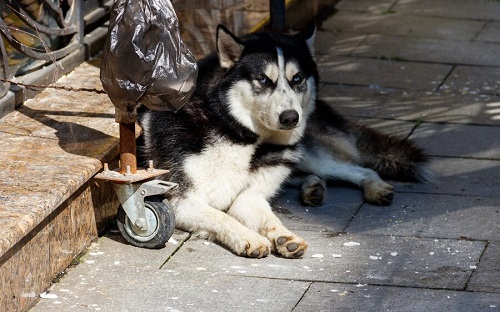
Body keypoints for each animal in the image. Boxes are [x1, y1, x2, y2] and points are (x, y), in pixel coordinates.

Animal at [139, 24, 432, 258]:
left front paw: (282, 236)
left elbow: (266, 217)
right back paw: (312, 188)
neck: (238, 133)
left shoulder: (249, 196)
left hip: (309, 154)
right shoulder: (182, 200)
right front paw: (250, 238)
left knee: (360, 168)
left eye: (297, 78)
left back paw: (372, 187)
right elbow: (220, 216)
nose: (291, 117)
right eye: (263, 80)